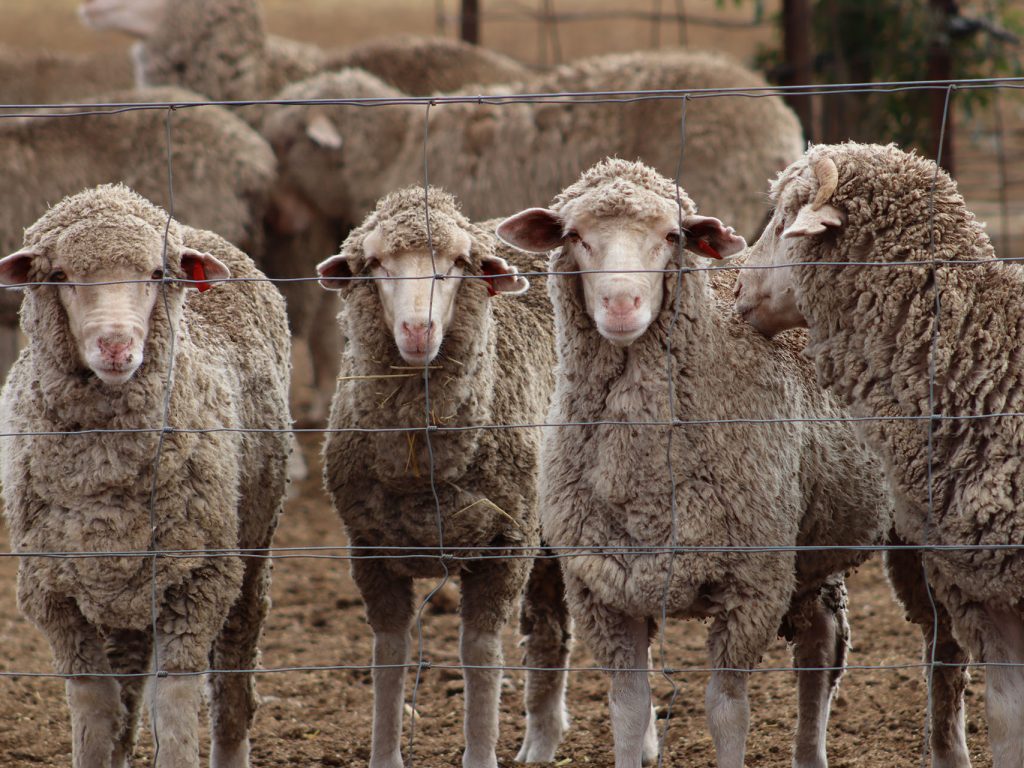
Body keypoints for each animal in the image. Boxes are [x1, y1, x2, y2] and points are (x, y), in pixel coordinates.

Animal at [0, 183, 291, 768]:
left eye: (158, 274)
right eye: (59, 274)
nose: (116, 347)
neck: (106, 474)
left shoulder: (200, 577)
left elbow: (174, 705)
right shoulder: (50, 589)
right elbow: (95, 707)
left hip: (251, 546)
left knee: (232, 673)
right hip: (122, 582)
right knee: (128, 680)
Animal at [316, 186, 565, 768]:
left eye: (456, 263)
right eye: (375, 264)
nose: (417, 330)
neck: (420, 474)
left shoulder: (504, 546)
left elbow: (480, 656)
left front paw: (480, 753)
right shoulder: (370, 551)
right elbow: (390, 655)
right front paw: (384, 756)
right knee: (549, 626)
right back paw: (541, 743)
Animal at [496, 158, 893, 768]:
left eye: (670, 236)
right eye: (574, 236)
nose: (621, 306)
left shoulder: (751, 585)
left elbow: (726, 711)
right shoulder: (604, 590)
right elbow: (628, 709)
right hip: (811, 543)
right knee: (821, 641)